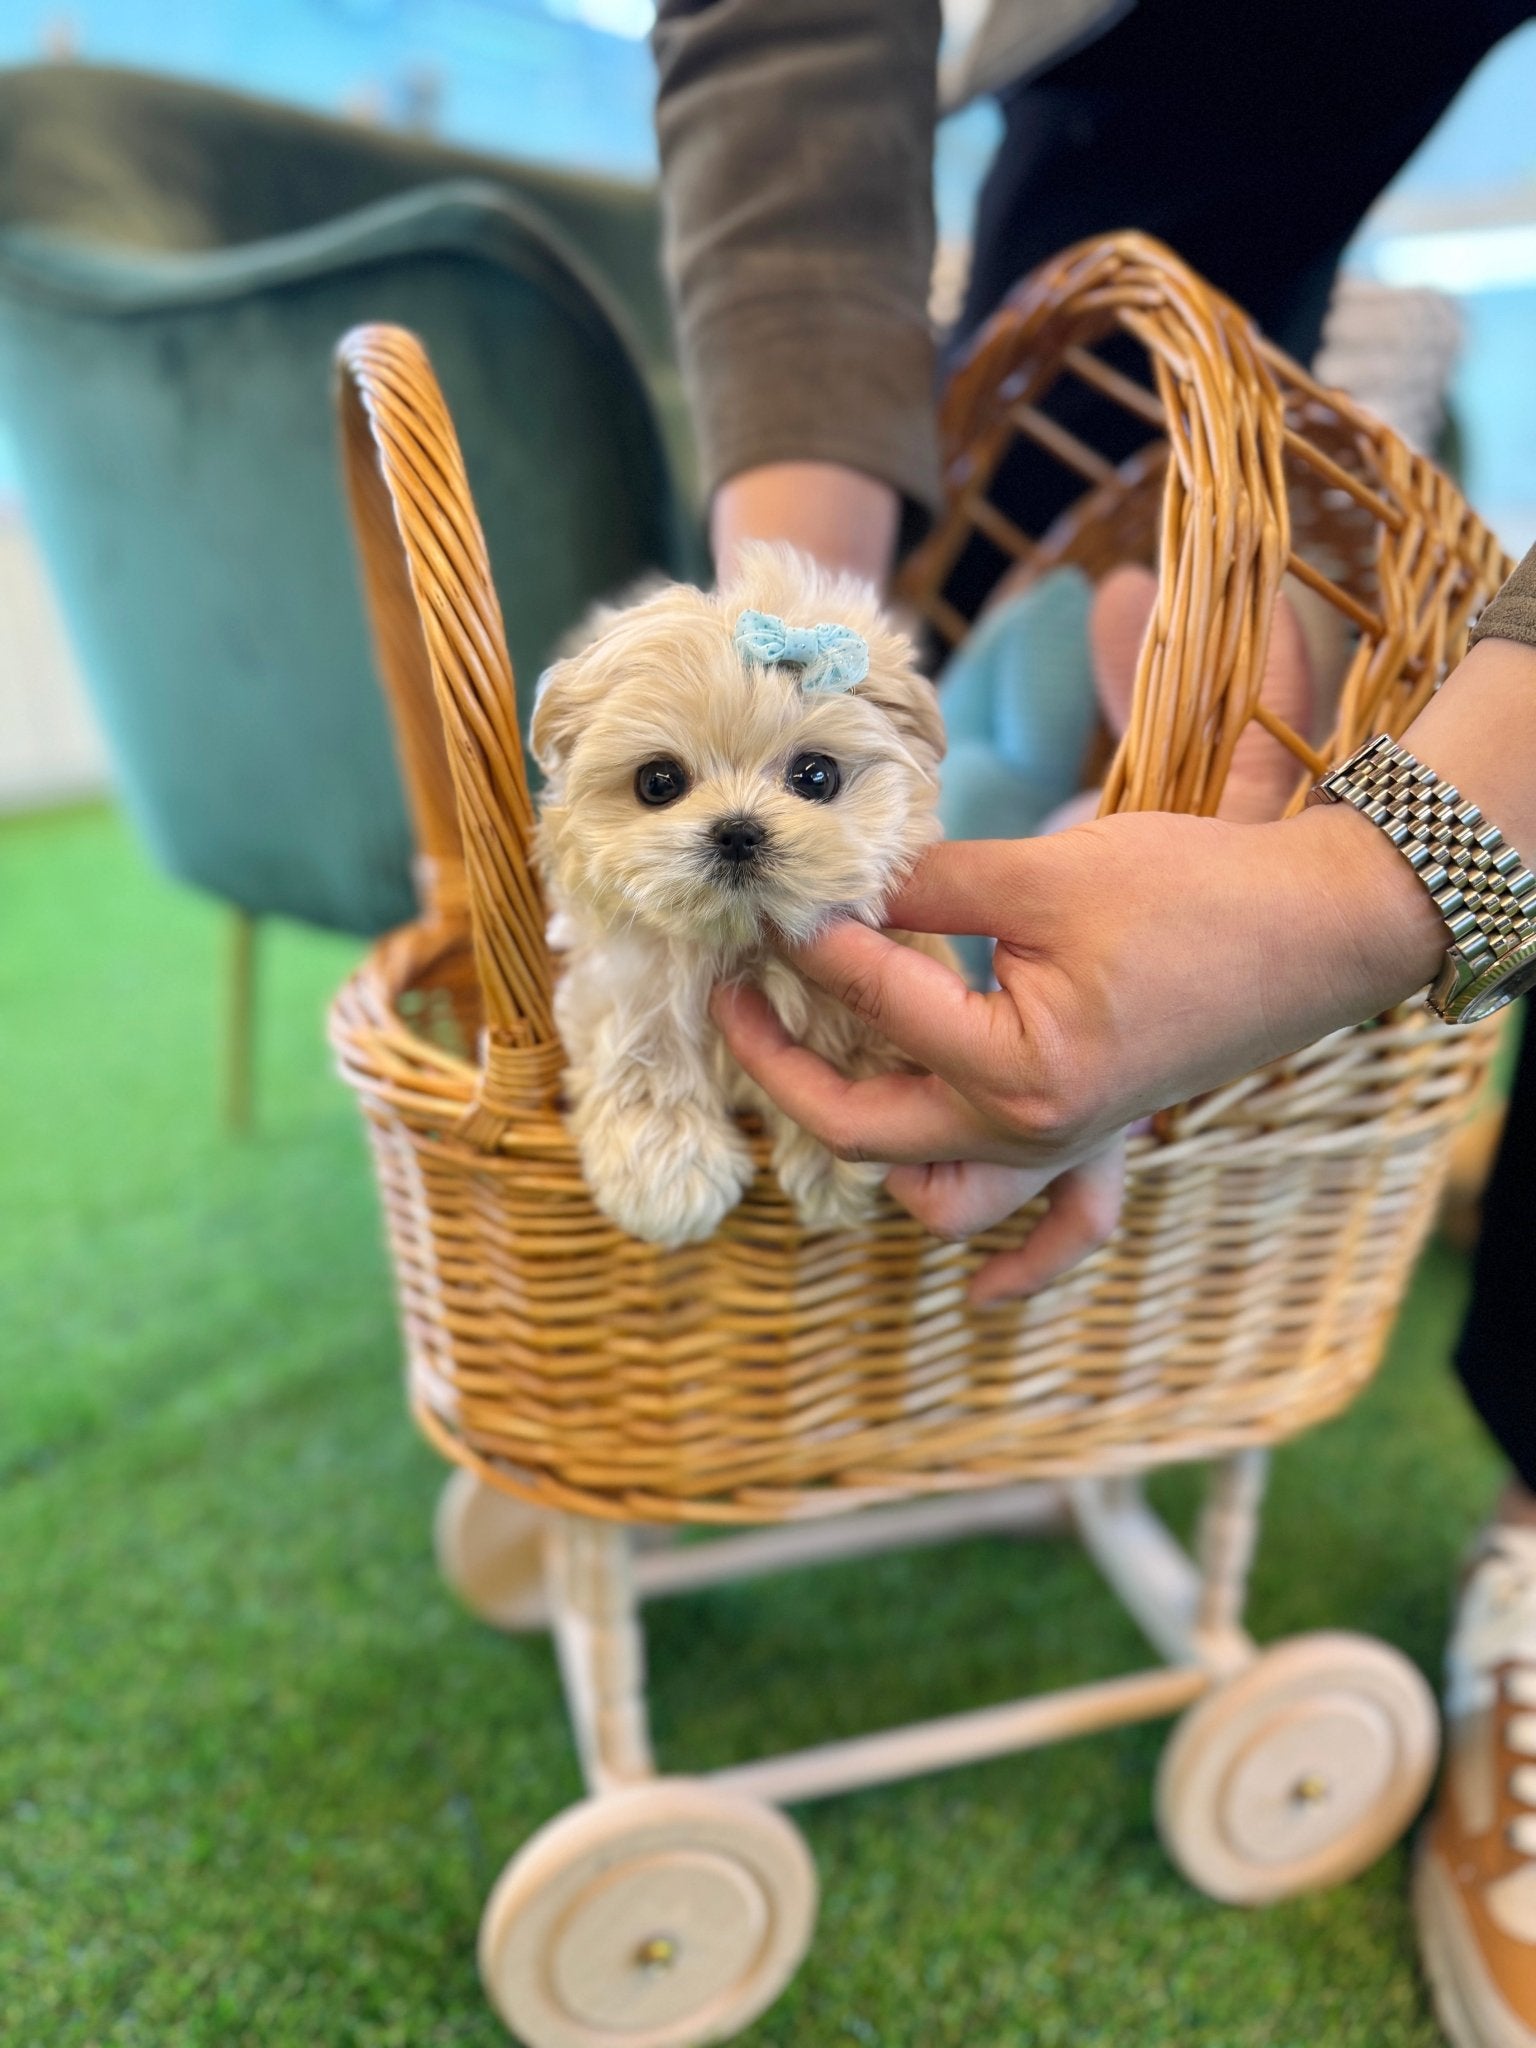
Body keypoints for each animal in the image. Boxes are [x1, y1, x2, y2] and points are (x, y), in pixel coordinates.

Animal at [536, 544, 958, 1245]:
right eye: (658, 782)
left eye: (815, 776)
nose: (737, 830)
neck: (741, 945)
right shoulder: (623, 983)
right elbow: (639, 1053)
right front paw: (668, 1183)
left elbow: (847, 1042)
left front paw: (832, 1171)